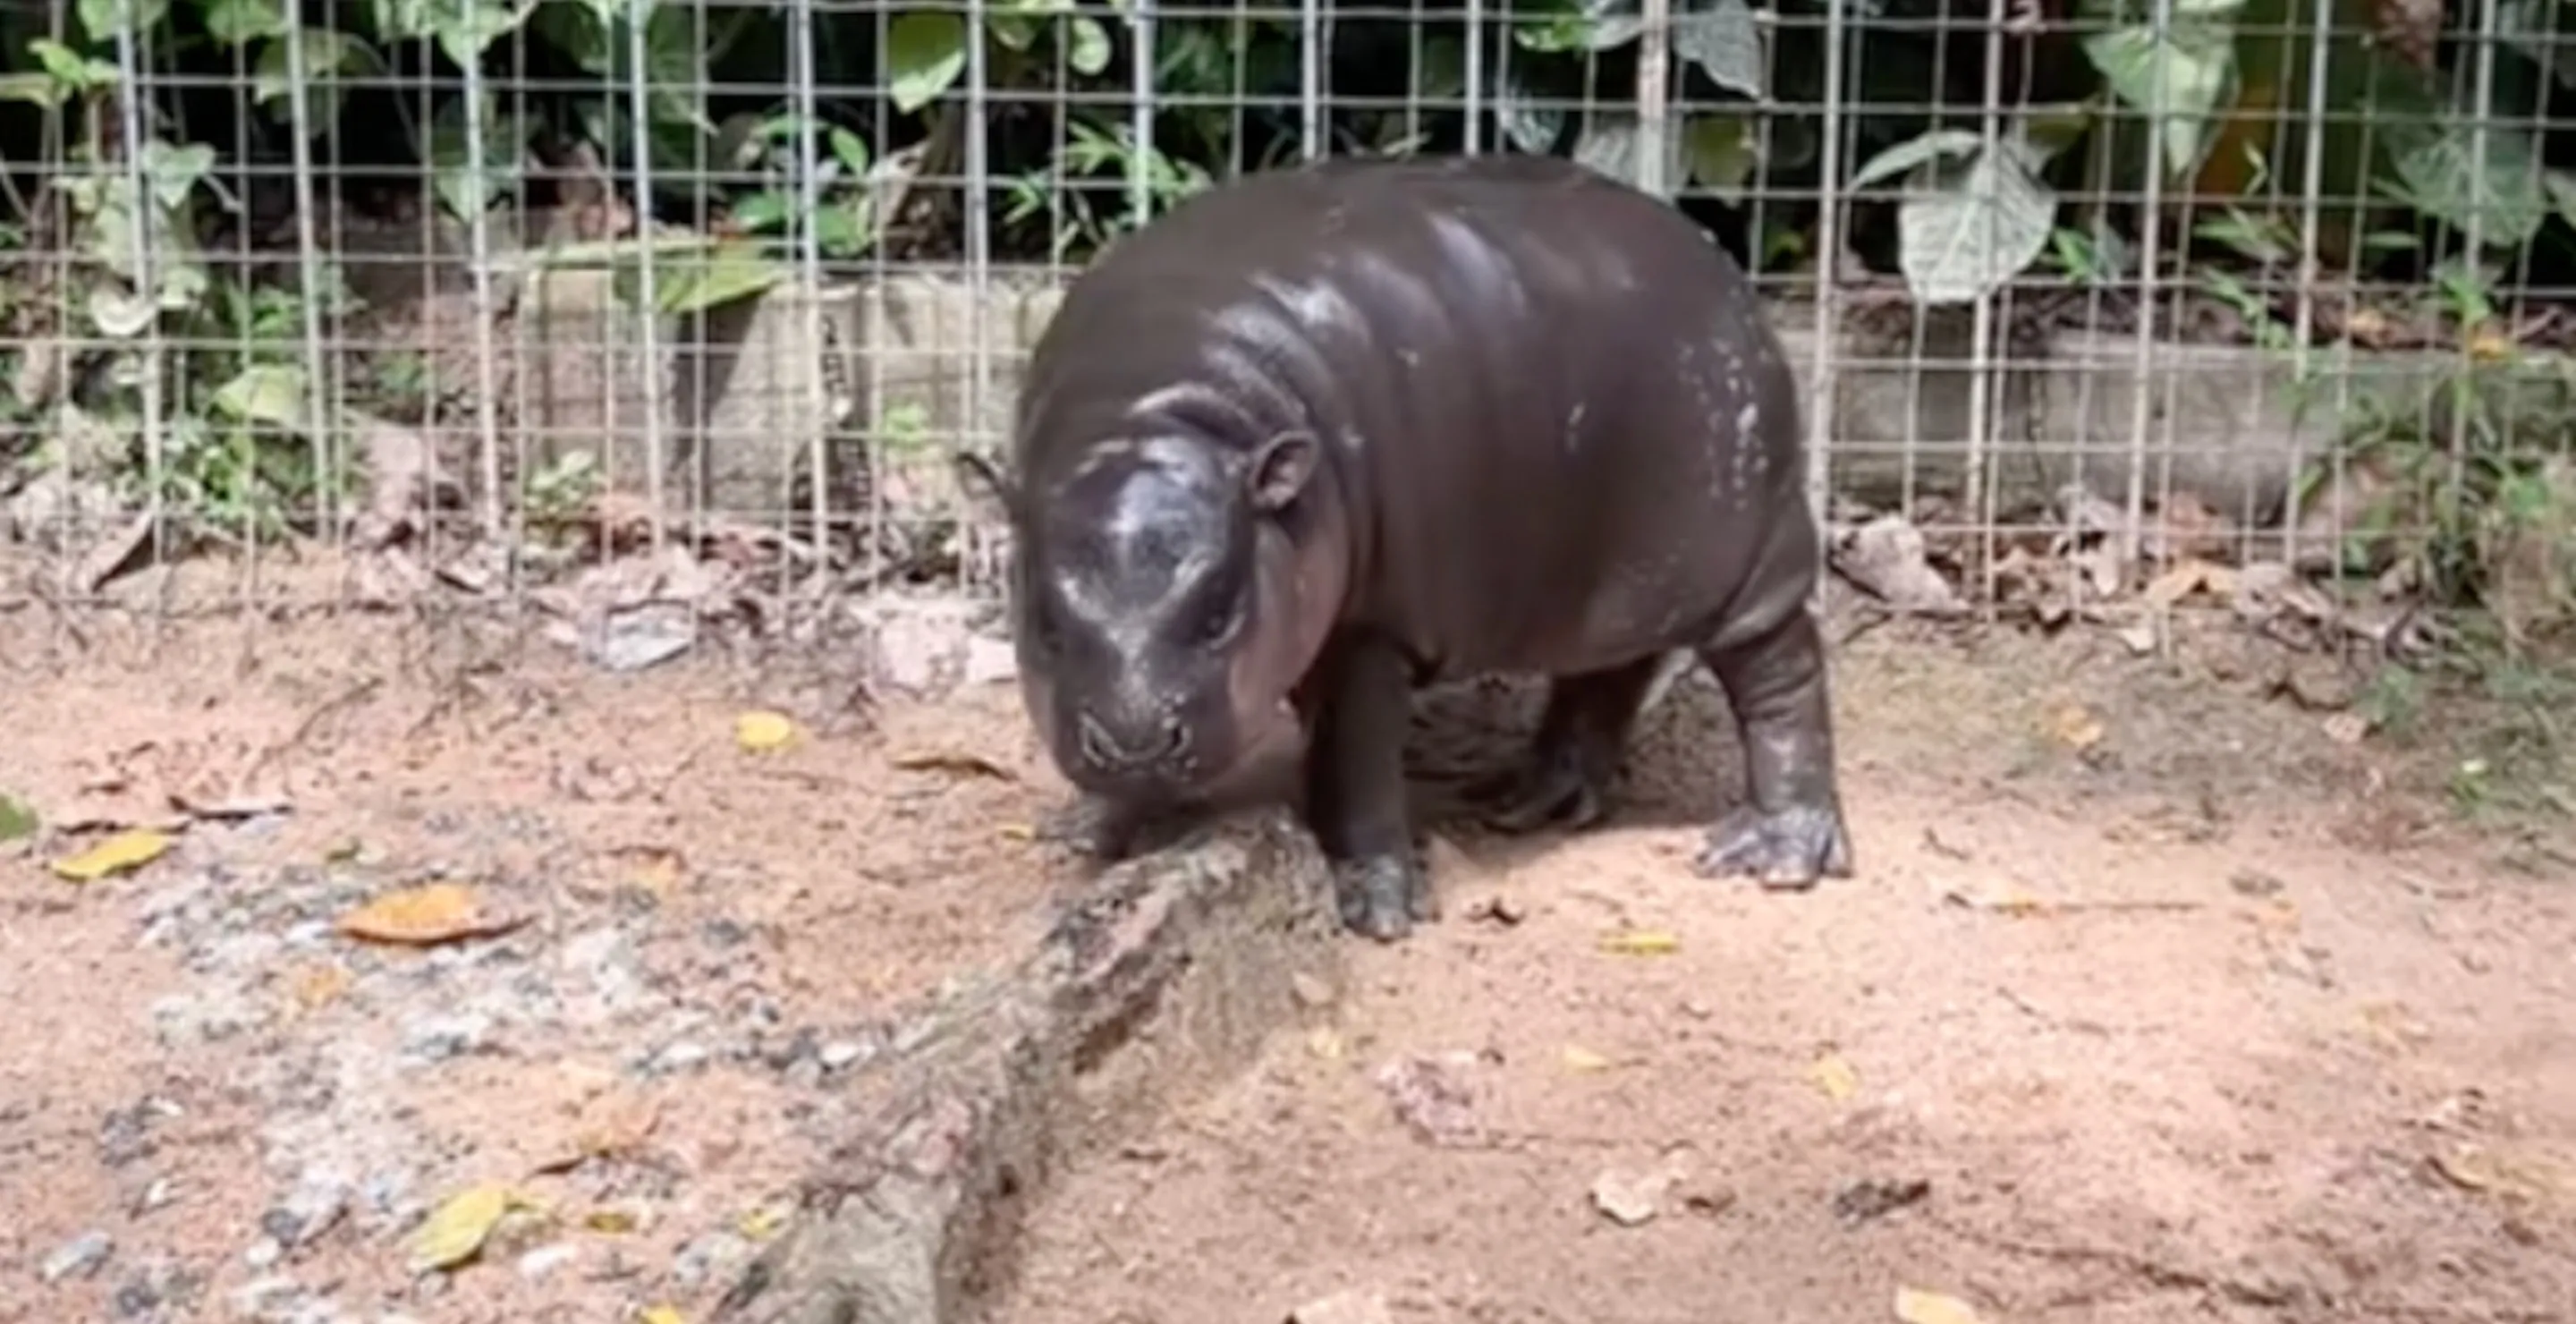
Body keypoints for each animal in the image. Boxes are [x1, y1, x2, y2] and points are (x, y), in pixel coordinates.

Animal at [963, 151, 1854, 938]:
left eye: (1219, 614)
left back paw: (1776, 851)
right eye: (1045, 626)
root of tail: (1715, 260)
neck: (1161, 417)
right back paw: (1531, 801)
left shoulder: (1375, 623)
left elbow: (1357, 763)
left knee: (1783, 675)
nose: (1139, 739)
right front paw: (1085, 831)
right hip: (1611, 573)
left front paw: (1380, 906)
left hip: (1752, 555)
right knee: (1608, 672)